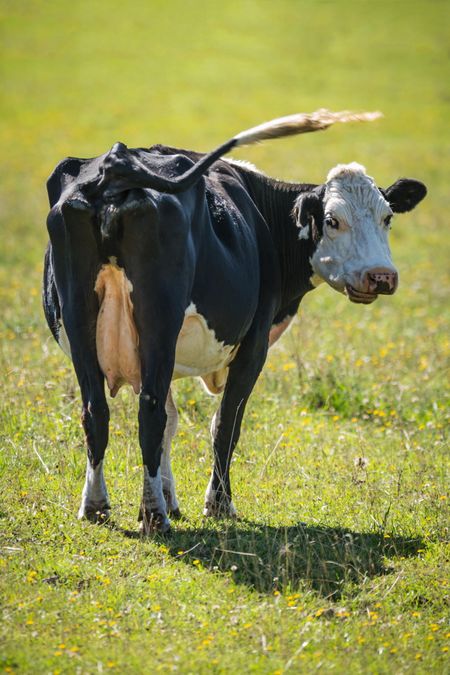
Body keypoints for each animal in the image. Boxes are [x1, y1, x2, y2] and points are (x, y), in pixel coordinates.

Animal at [42, 111, 426, 532]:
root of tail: (116, 164)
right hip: (159, 320)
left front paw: (172, 498)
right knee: (149, 413)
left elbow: (173, 424)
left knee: (96, 411)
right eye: (332, 220)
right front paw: (217, 504)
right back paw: (154, 516)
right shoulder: (254, 342)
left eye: (387, 217)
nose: (381, 276)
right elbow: (225, 423)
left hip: (79, 317)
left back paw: (96, 505)